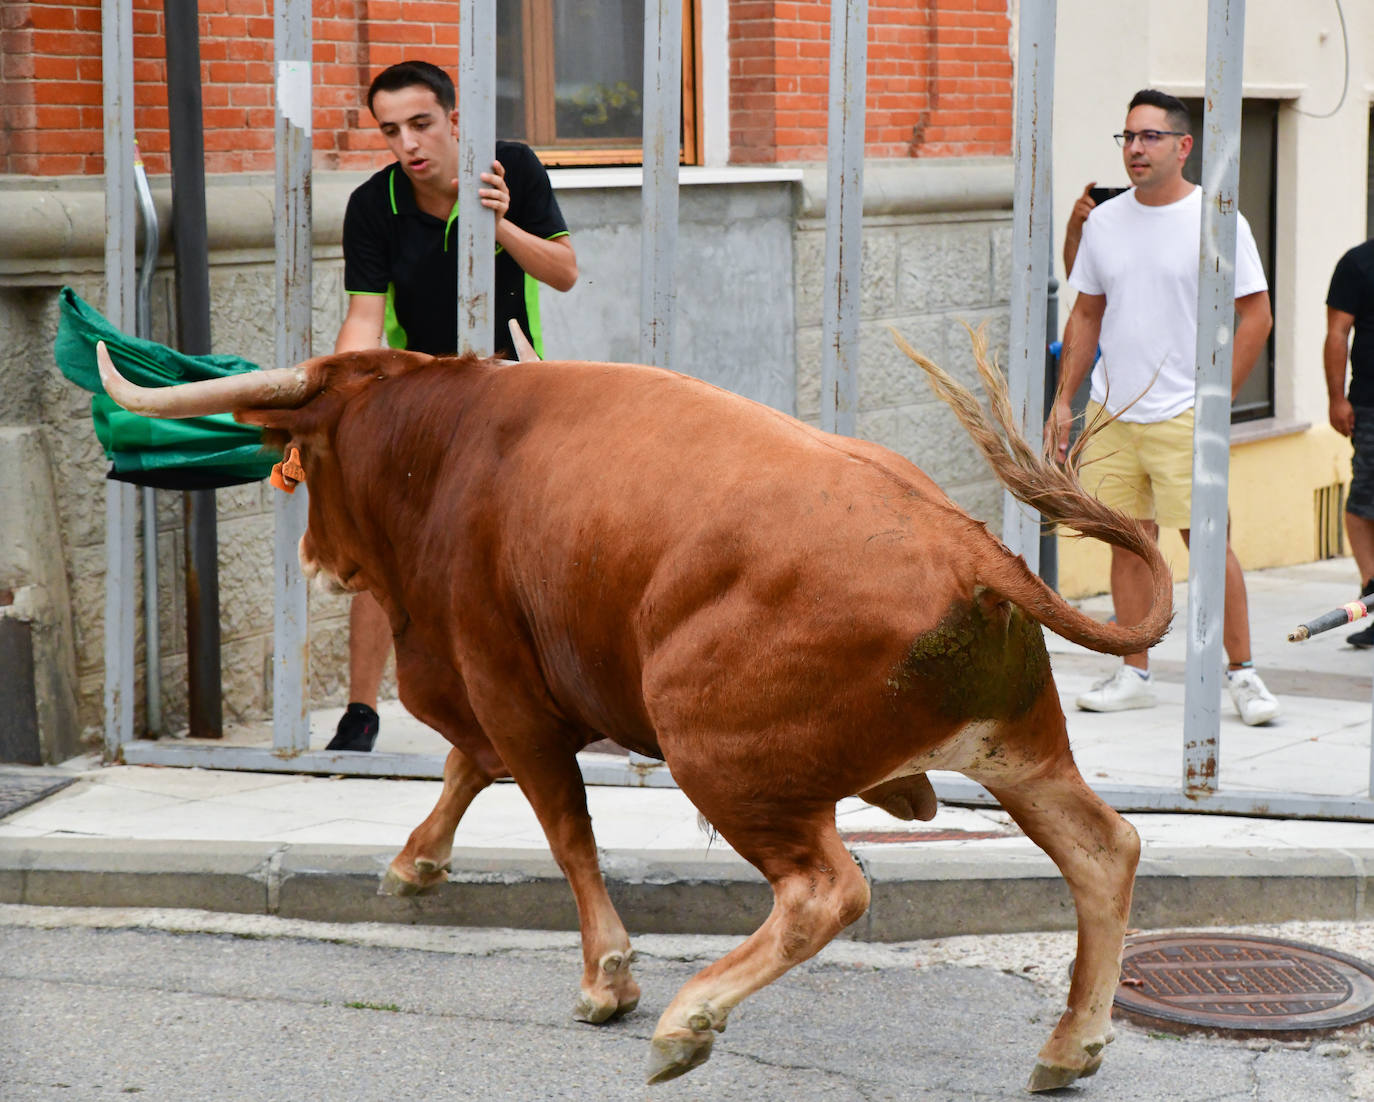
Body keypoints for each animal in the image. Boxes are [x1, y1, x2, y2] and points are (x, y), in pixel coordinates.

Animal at [96, 328, 1170, 1088]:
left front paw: (606, 981)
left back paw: (688, 1021)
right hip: (1019, 754)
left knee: (827, 890)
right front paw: (412, 866)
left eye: (307, 461)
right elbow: (466, 770)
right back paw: (1069, 1047)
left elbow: (563, 828)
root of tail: (966, 543)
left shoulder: (502, 684)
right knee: (1103, 850)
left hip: (722, 759)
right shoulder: (504, 693)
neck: (447, 446)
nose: (316, 557)